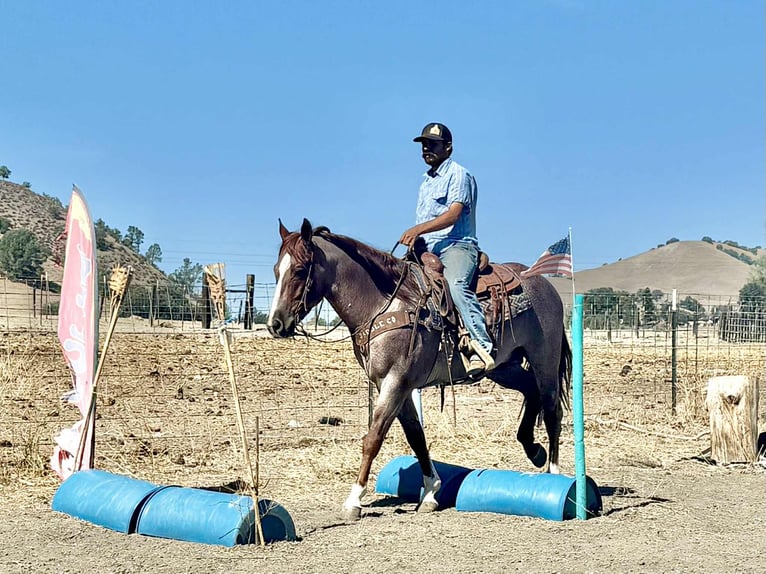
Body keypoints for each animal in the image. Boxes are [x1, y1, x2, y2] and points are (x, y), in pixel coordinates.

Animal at [267, 219, 571, 521]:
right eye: (276, 271)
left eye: (299, 270)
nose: (275, 324)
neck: (383, 303)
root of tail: (545, 284)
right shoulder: (392, 384)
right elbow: (415, 435)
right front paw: (431, 492)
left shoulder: (396, 381)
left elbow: (373, 437)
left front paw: (354, 500)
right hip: (504, 367)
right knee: (531, 391)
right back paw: (533, 450)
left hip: (544, 359)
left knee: (552, 410)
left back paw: (554, 473)